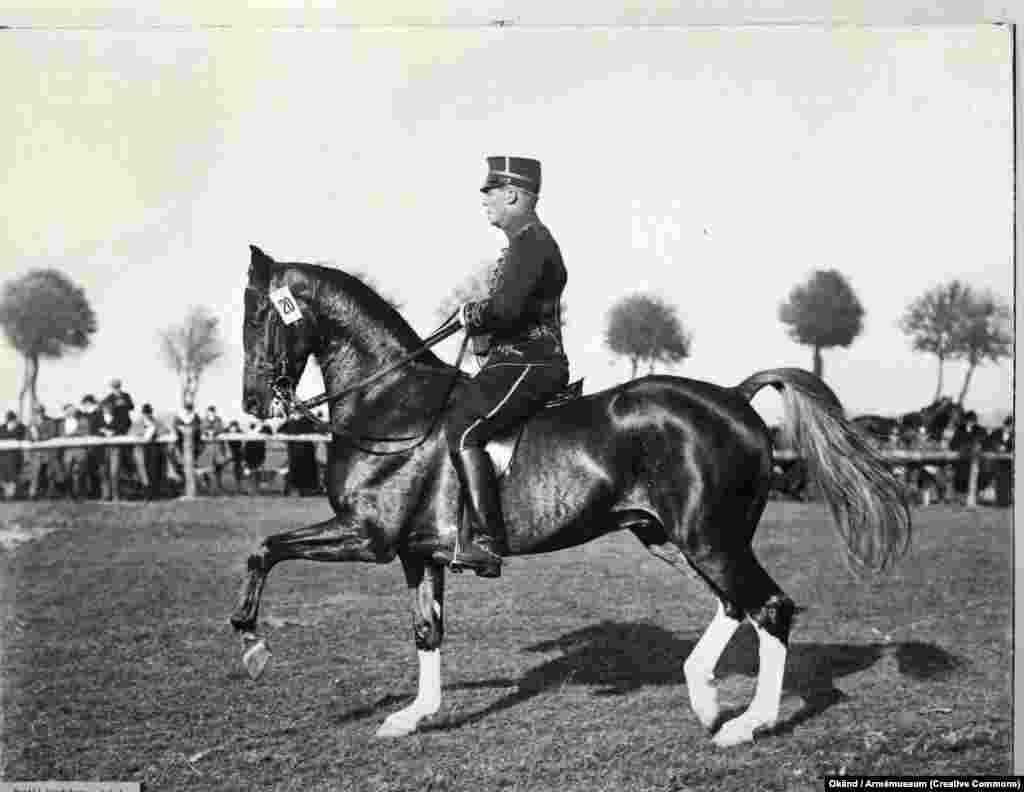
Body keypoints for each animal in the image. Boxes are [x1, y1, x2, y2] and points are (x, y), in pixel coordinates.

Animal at [232, 245, 913, 745]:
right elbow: (427, 630)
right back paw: (704, 693)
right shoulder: (415, 552)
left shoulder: (368, 536)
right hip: (678, 536)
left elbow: (265, 548)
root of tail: (734, 396)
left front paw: (251, 642)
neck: (389, 402)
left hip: (706, 537)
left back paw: (745, 725)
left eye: (258, 314)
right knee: (736, 604)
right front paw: (412, 716)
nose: (254, 402)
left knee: (769, 607)